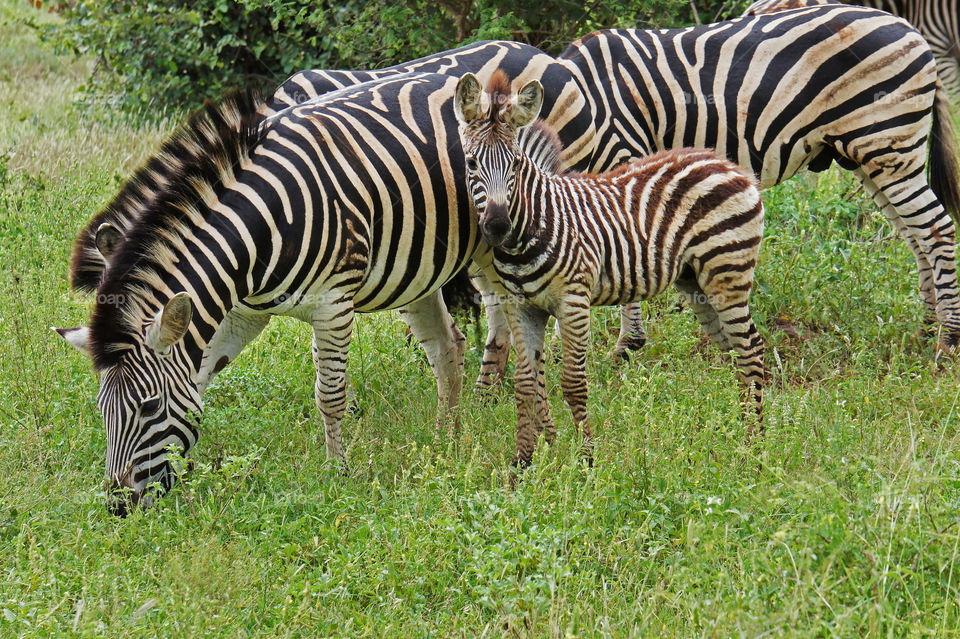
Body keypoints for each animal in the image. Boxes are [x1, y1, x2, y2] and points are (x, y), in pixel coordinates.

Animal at [54, 72, 510, 516]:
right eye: (101, 409)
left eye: (148, 406)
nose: (118, 507)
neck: (265, 225)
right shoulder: (242, 313)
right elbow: (199, 381)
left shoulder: (332, 305)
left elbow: (329, 396)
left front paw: (337, 474)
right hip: (417, 266)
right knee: (449, 346)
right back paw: (446, 442)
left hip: (498, 243)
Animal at [456, 71, 764, 470]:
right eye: (471, 163)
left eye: (516, 165)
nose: (496, 227)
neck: (534, 225)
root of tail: (726, 164)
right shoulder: (521, 307)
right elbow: (525, 385)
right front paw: (524, 463)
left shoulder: (573, 301)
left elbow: (573, 382)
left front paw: (586, 460)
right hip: (695, 280)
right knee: (733, 350)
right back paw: (738, 434)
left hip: (728, 271)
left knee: (751, 347)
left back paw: (756, 446)